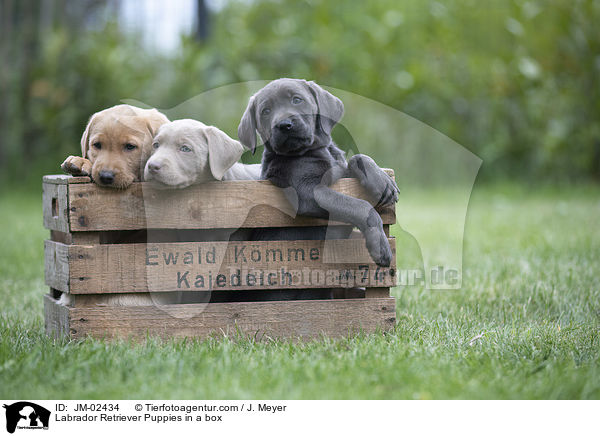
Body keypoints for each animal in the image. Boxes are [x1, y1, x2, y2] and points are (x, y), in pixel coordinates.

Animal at [238, 80, 398, 268]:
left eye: (297, 100)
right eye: (266, 111)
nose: (284, 124)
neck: (314, 149)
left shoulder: (340, 171)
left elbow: (357, 158)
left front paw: (383, 181)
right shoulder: (307, 192)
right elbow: (360, 206)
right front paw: (380, 245)